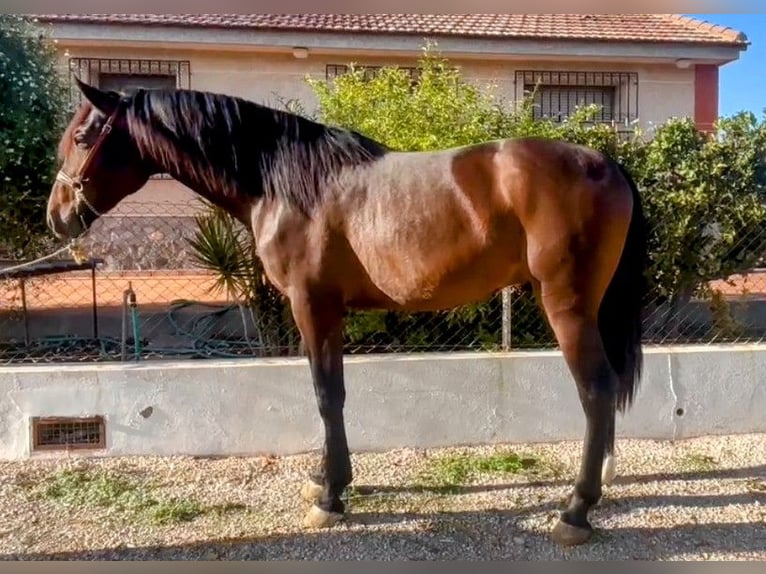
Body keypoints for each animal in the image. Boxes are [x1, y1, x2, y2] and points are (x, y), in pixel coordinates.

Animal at [46, 77, 648, 548]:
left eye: (82, 137)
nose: (58, 216)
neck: (282, 182)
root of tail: (605, 163)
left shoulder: (312, 305)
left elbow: (325, 394)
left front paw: (331, 497)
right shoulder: (326, 311)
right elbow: (330, 392)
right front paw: (324, 479)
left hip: (567, 306)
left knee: (595, 389)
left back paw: (576, 510)